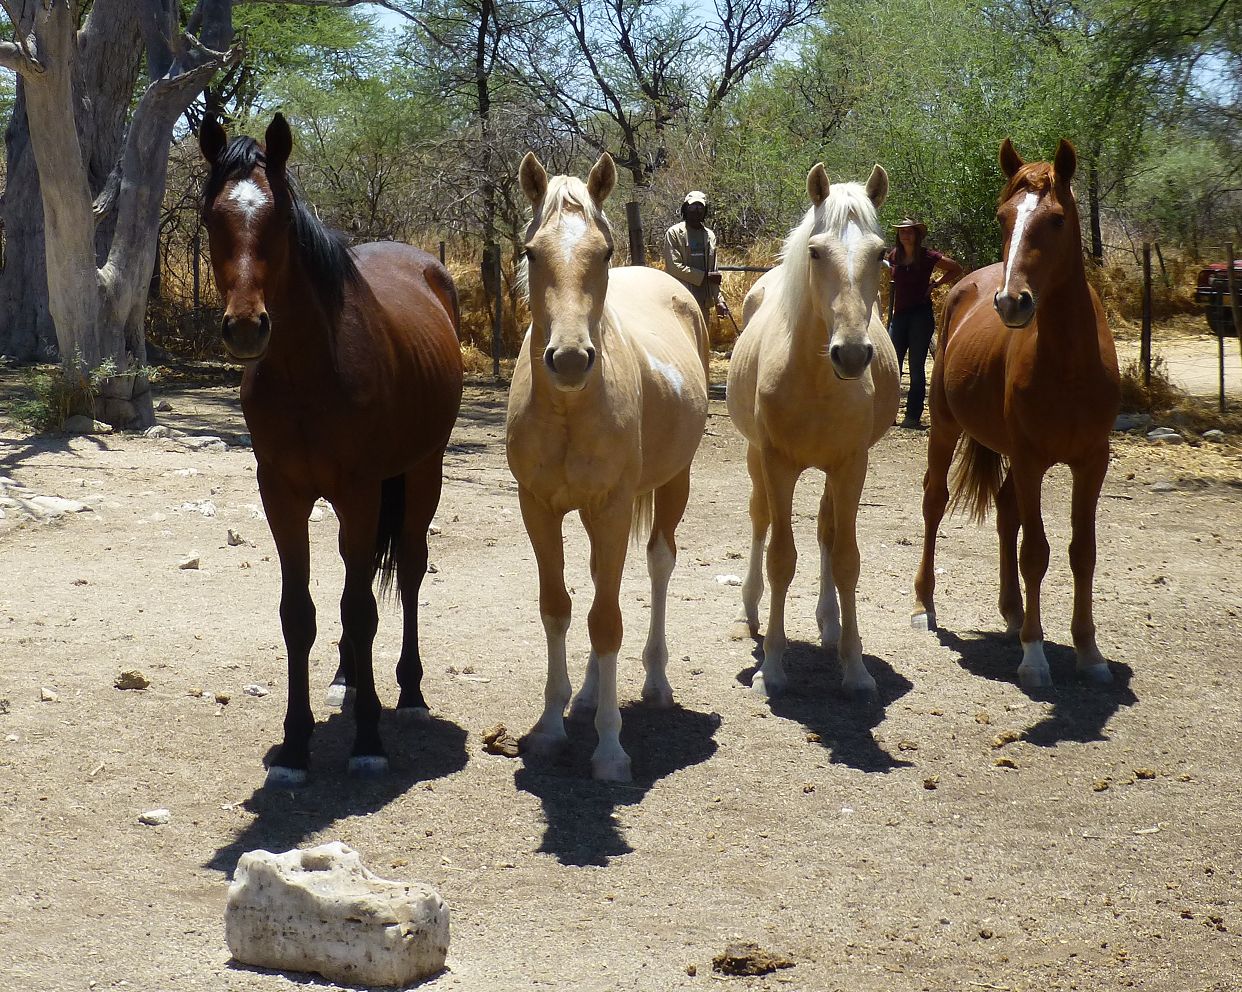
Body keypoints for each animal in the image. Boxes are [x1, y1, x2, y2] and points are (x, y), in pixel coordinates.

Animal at [198, 114, 462, 784]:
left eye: (280, 221)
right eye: (213, 218)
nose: (246, 327)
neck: (307, 371)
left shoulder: (360, 490)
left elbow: (362, 610)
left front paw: (368, 739)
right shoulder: (281, 493)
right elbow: (300, 614)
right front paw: (296, 744)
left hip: (421, 473)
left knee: (408, 570)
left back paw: (409, 690)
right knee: (355, 577)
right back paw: (347, 675)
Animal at [506, 151, 710, 784]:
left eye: (604, 251)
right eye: (530, 252)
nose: (571, 359)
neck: (571, 408)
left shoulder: (616, 507)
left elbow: (608, 622)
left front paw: (611, 749)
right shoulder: (538, 509)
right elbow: (560, 608)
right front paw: (550, 728)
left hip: (672, 485)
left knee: (659, 565)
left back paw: (654, 683)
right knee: (601, 584)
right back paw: (592, 694)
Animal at [725, 165, 894, 705]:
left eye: (881, 253)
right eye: (817, 252)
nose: (852, 354)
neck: (816, 378)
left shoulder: (850, 465)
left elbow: (845, 559)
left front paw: (855, 668)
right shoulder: (777, 462)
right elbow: (780, 558)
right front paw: (773, 669)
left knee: (825, 530)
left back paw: (830, 623)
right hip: (755, 457)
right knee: (760, 520)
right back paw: (750, 611)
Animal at [914, 137, 1127, 690]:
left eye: (1056, 219)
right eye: (1003, 216)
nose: (1012, 303)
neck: (1069, 365)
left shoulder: (1092, 462)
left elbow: (1082, 552)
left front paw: (1089, 651)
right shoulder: (1032, 460)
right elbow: (1037, 553)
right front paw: (1035, 657)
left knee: (1007, 511)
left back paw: (1012, 612)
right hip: (945, 428)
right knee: (935, 501)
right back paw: (925, 604)